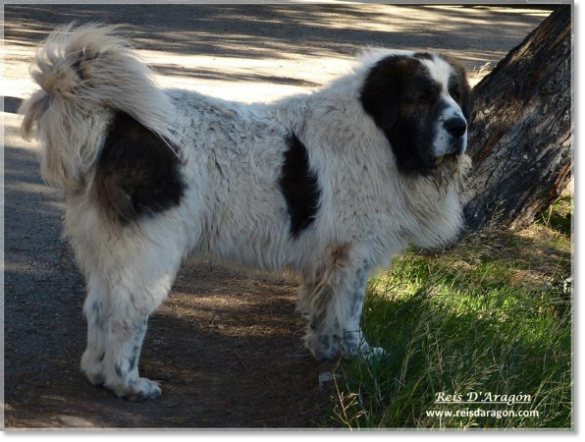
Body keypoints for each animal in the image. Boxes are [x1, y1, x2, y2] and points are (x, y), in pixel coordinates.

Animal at [20, 24, 472, 400]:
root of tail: (121, 124)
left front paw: (325, 351)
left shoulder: (328, 259)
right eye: (423, 97)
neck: (382, 134)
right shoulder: (352, 254)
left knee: (97, 309)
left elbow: (323, 311)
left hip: (108, 249)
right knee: (124, 318)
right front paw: (358, 354)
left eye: (456, 95)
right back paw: (127, 383)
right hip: (149, 255)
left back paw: (97, 374)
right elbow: (349, 315)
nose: (460, 126)